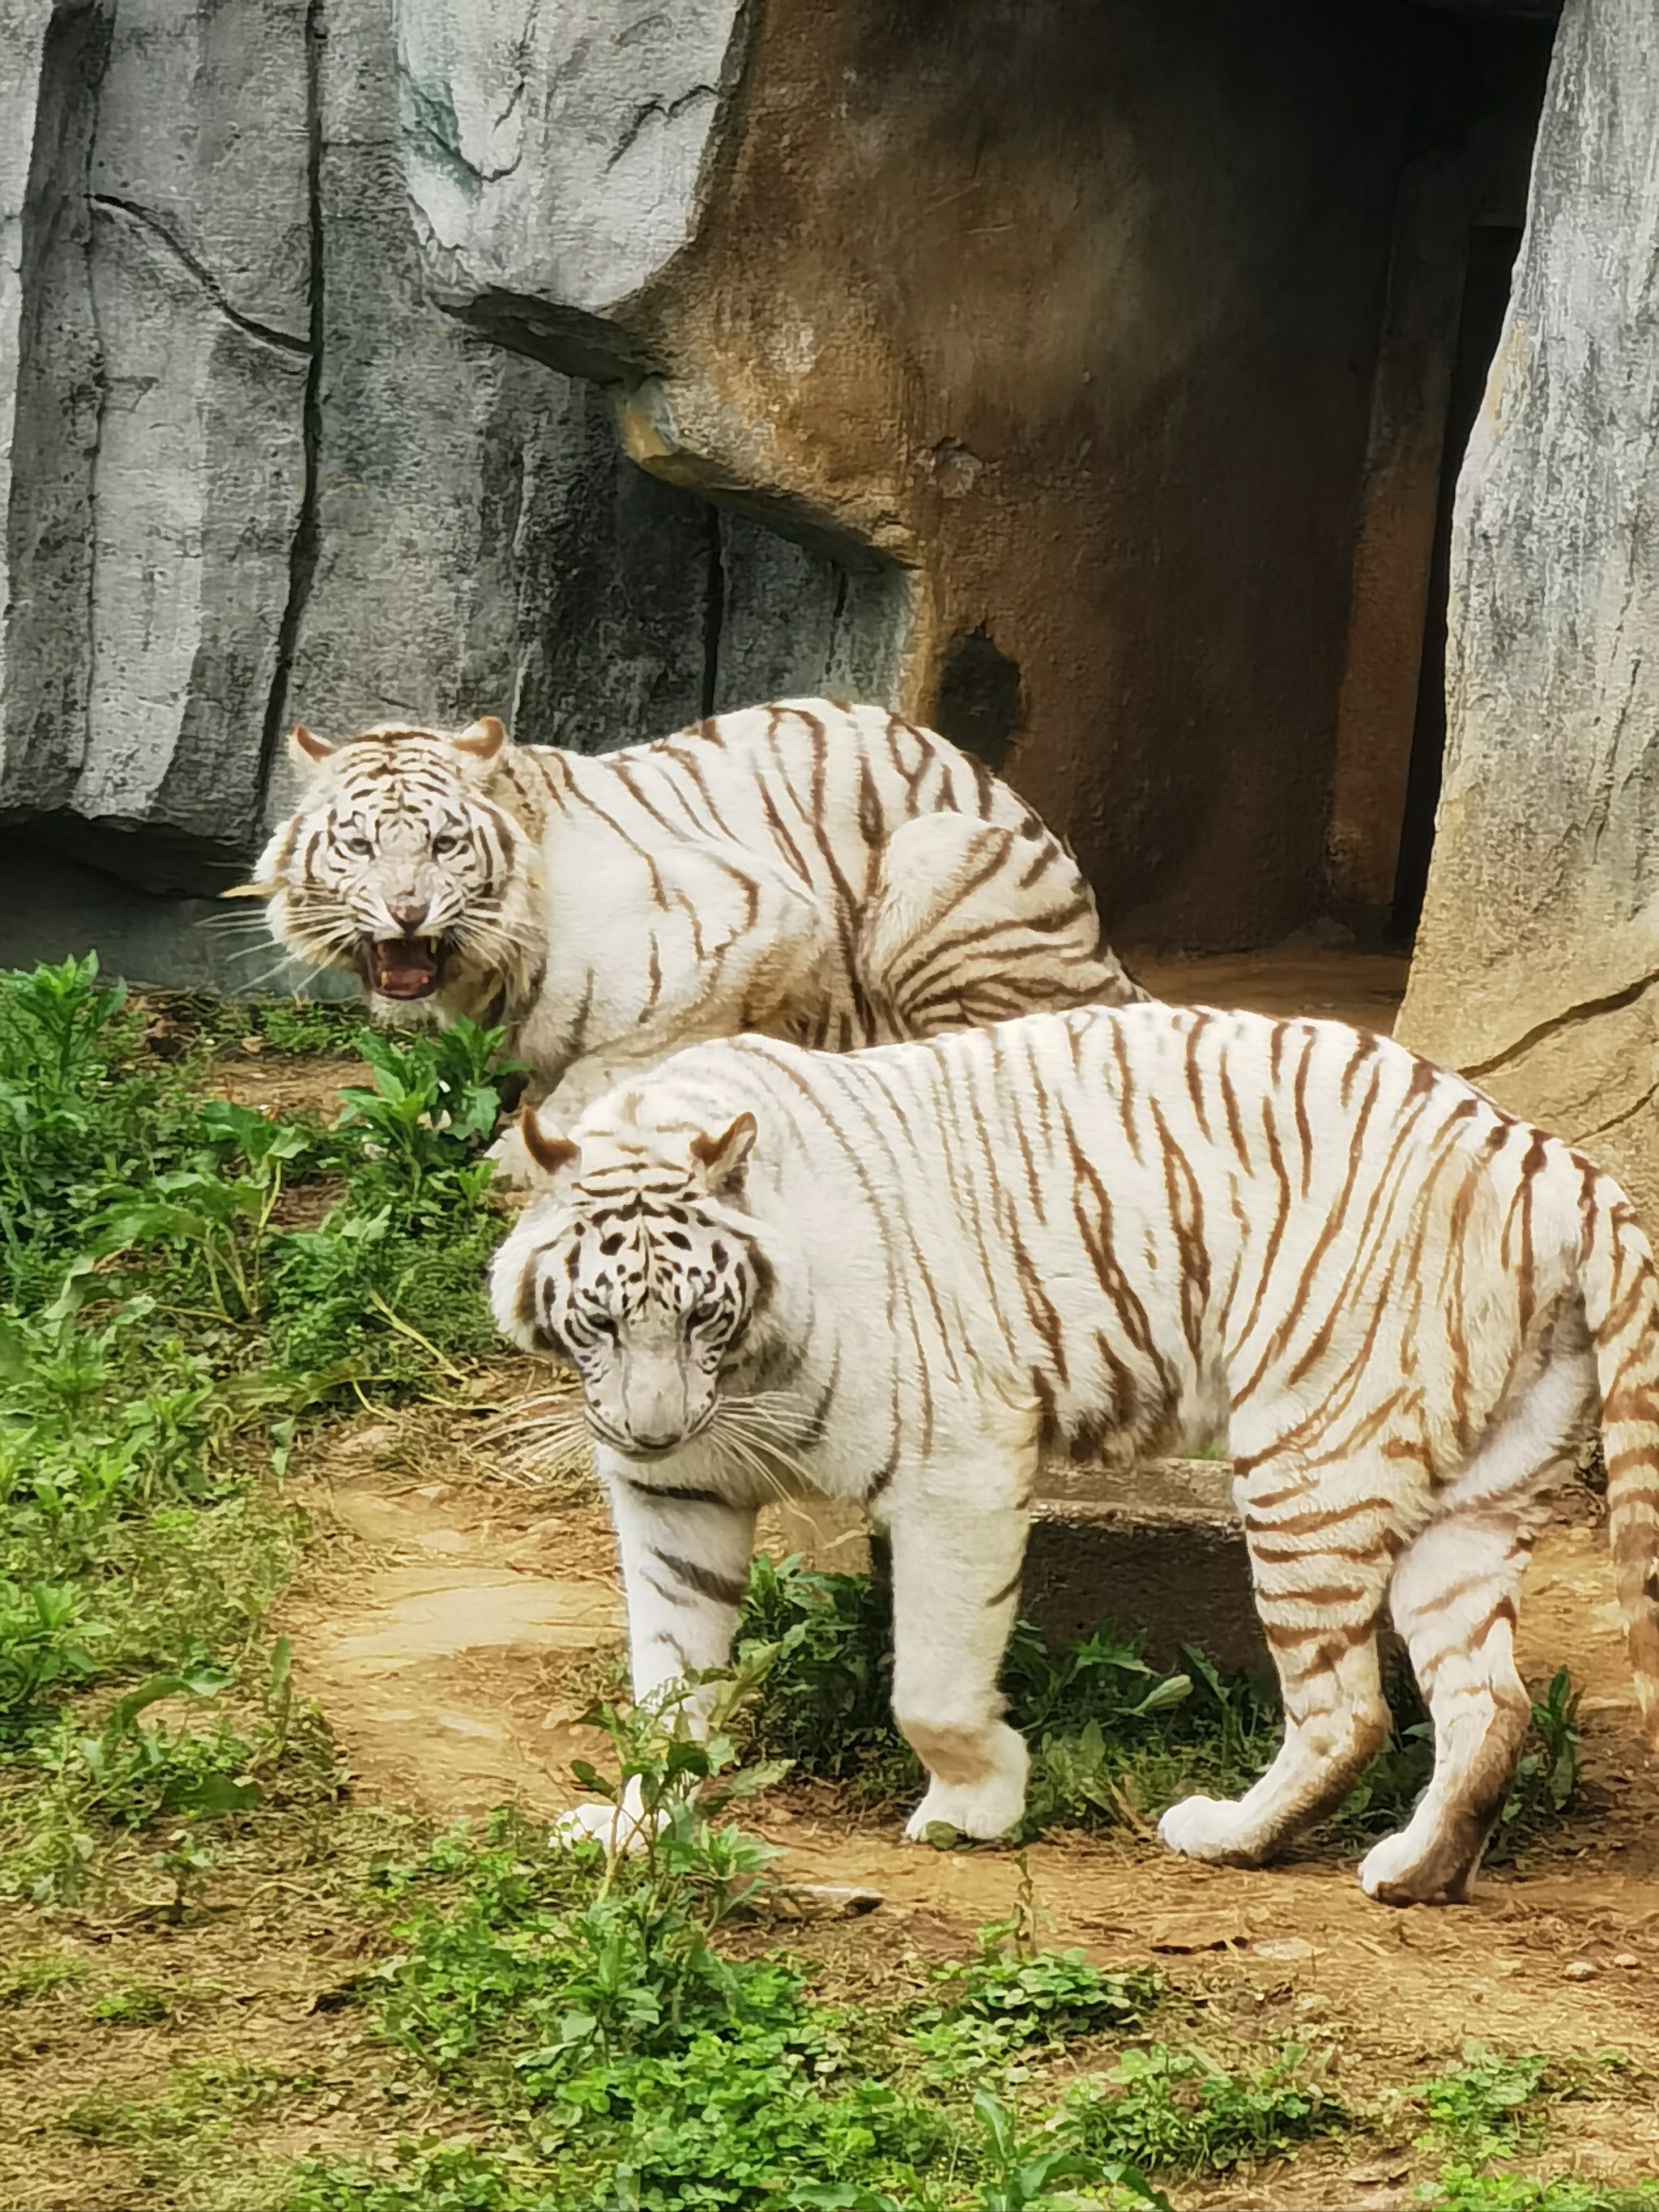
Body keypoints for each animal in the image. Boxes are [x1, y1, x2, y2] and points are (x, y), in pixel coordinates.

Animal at [253, 690, 1149, 1159]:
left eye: (442, 844)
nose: (407, 909)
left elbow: (607, 1066)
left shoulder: (763, 923)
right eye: (361, 846)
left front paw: (521, 1152)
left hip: (937, 854)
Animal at [486, 999, 1659, 1902]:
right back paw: (1414, 1870)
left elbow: (931, 1680)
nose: (648, 1427)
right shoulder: (676, 1497)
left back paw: (1226, 1835)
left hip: (1309, 1462)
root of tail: (1548, 1153)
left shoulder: (954, 1465)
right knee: (1490, 1705)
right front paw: (640, 1823)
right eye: (600, 1321)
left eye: (699, 1314)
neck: (740, 1377)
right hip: (1478, 1494)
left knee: (1349, 1713)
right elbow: (668, 1680)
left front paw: (976, 1805)